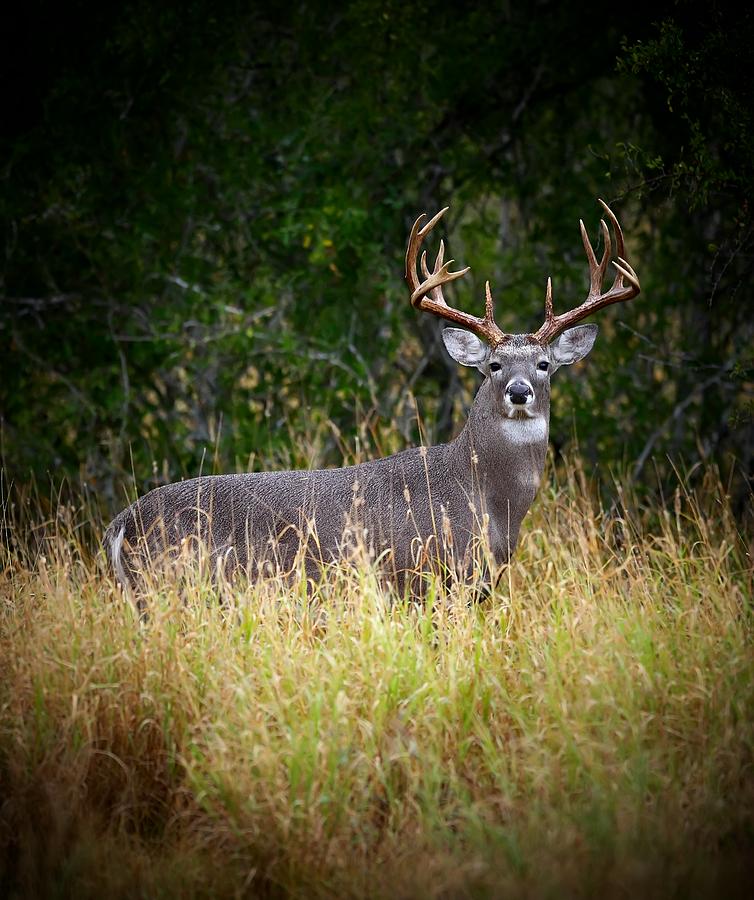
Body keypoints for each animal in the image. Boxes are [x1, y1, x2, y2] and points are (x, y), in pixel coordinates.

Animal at [103, 200, 636, 600]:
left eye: (544, 364)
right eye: (493, 365)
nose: (519, 391)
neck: (486, 499)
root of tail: (120, 526)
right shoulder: (423, 576)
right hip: (177, 586)